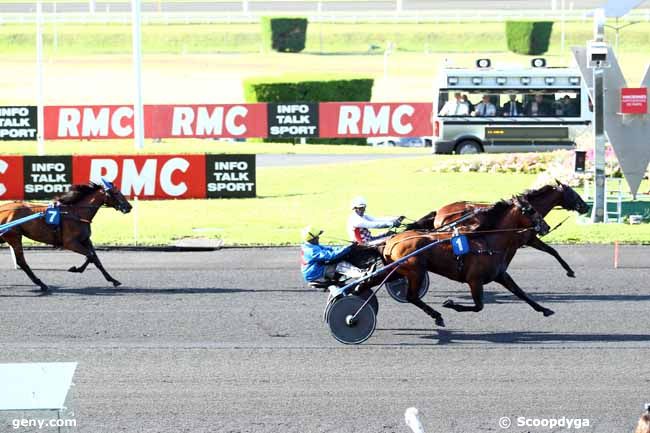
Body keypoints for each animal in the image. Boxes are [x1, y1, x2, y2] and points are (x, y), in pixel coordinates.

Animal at [0, 179, 132, 294]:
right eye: (116, 192)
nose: (129, 207)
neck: (77, 213)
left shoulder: (85, 239)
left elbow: (95, 259)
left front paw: (113, 280)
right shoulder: (70, 243)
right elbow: (90, 256)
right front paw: (75, 269)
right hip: (14, 237)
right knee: (21, 261)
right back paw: (41, 284)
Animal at [384, 197, 552, 326]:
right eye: (531, 210)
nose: (547, 226)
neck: (488, 242)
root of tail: (392, 241)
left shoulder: (500, 275)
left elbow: (520, 292)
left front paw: (545, 309)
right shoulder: (475, 280)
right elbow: (479, 306)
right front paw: (450, 304)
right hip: (416, 272)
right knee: (412, 297)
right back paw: (437, 316)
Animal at [410, 181, 588, 276]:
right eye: (573, 193)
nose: (585, 207)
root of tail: (440, 212)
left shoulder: (528, 239)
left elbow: (552, 251)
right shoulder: (520, 241)